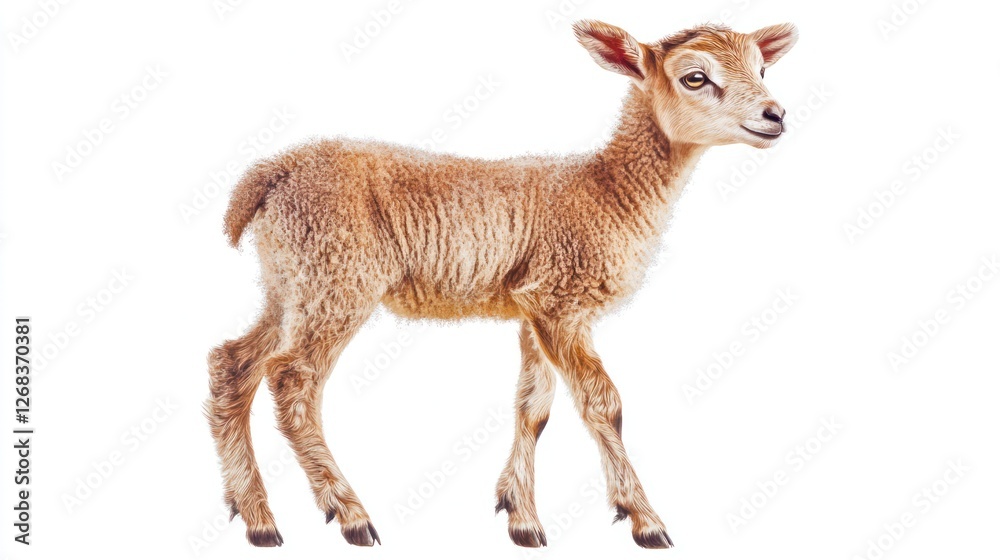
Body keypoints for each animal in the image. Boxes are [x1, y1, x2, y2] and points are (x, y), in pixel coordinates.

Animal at [206, 19, 798, 549]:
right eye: (695, 78)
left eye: (763, 68)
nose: (776, 115)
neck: (609, 190)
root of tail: (270, 174)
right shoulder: (559, 300)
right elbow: (603, 403)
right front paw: (644, 519)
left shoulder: (532, 308)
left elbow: (533, 408)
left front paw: (523, 519)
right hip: (338, 278)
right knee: (292, 380)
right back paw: (348, 513)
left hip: (289, 281)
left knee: (234, 364)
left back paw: (257, 518)